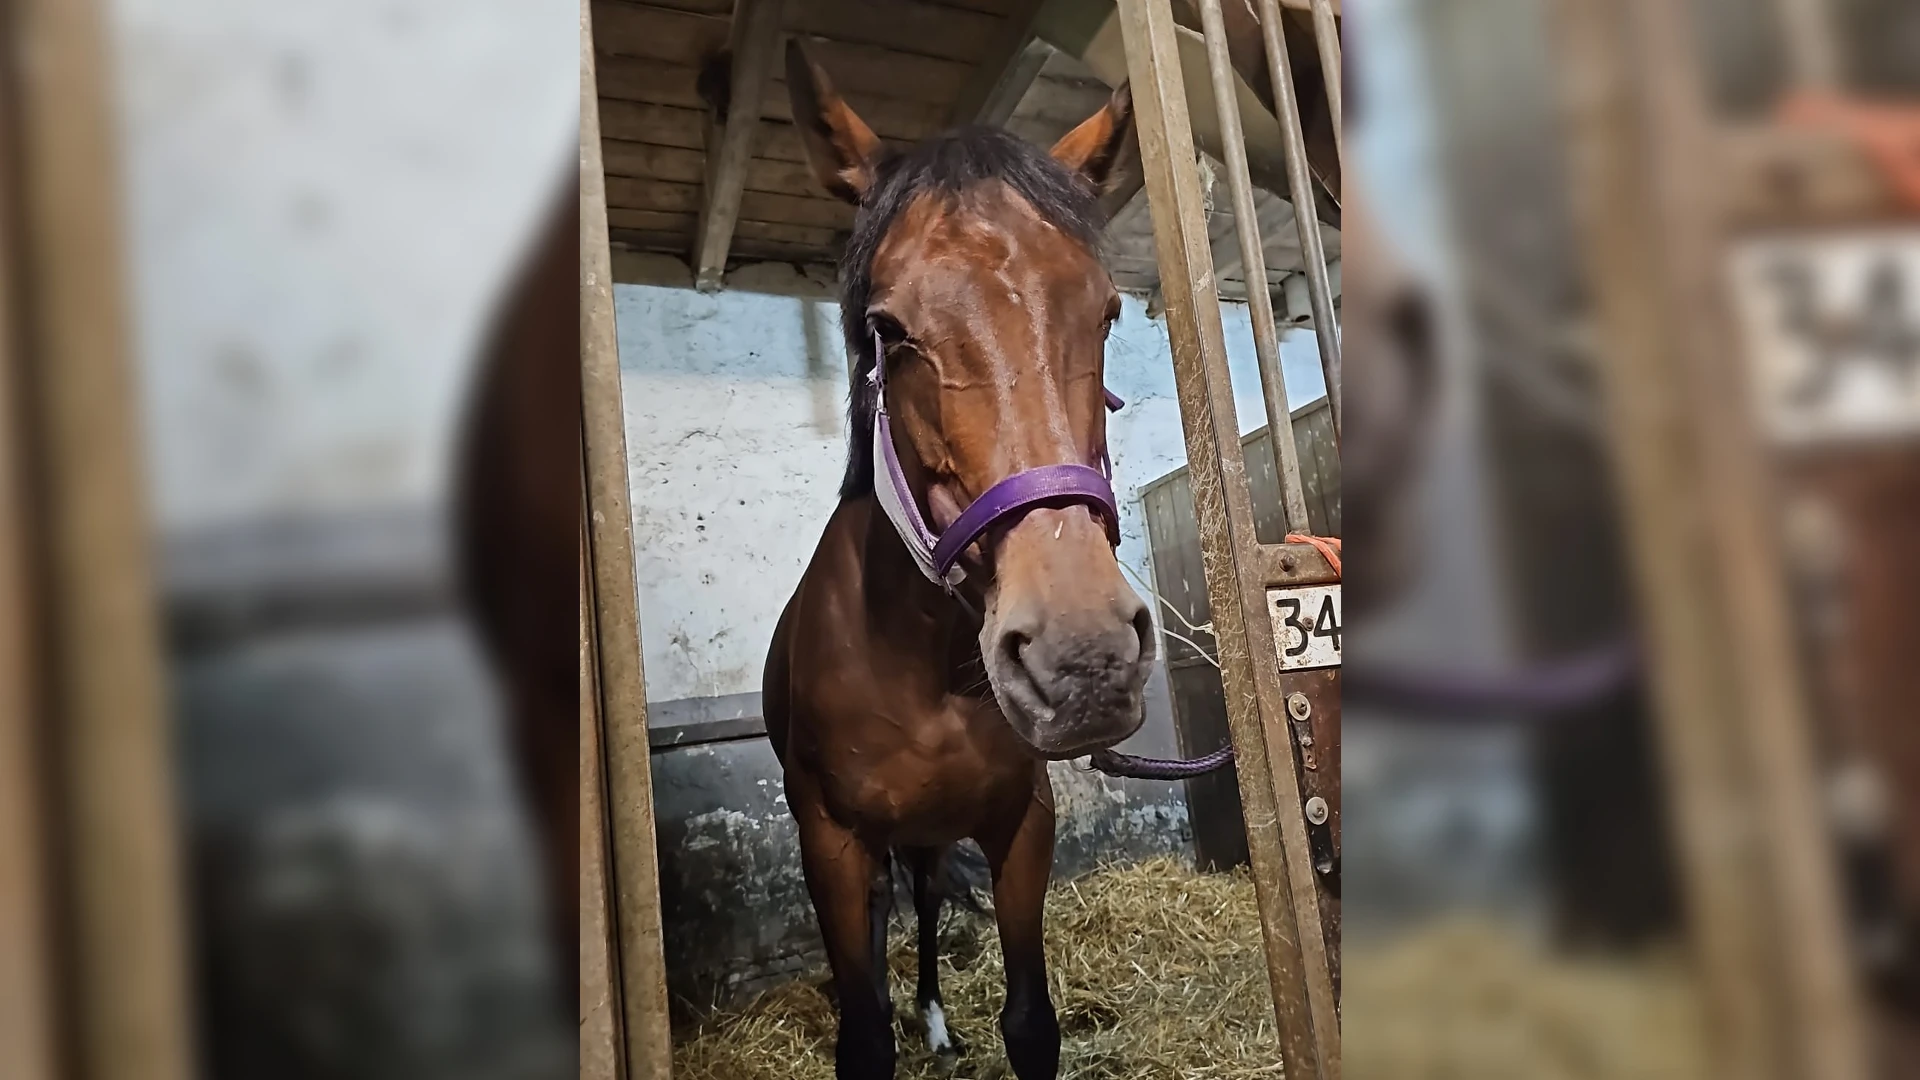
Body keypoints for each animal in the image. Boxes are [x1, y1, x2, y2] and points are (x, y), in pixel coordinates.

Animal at [762, 42, 1152, 1080]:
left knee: (931, 899)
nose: (1083, 658)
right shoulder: (831, 843)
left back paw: (936, 1017)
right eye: (890, 331)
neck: (924, 659)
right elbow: (862, 1035)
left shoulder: (1021, 824)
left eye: (1107, 315)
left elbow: (1030, 1024)